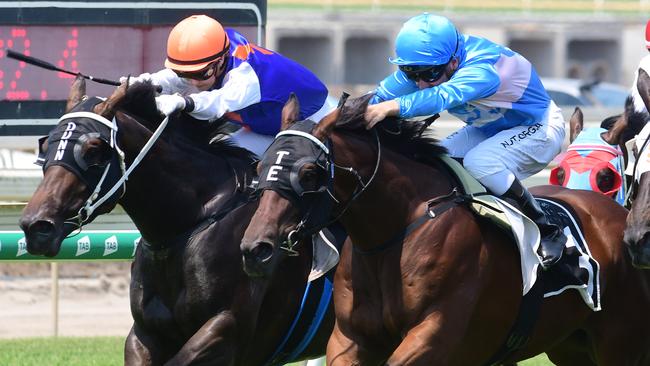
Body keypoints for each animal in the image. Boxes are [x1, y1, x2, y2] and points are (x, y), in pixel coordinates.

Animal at [238, 93, 648, 364]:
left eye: (309, 172)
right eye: (260, 166)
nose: (257, 247)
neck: (393, 236)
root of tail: (618, 217)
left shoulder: (436, 335)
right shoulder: (349, 339)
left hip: (619, 342)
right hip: (571, 345)